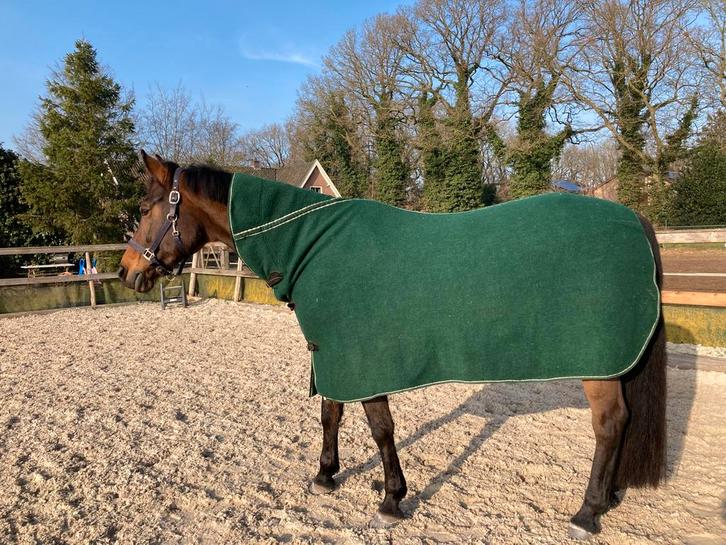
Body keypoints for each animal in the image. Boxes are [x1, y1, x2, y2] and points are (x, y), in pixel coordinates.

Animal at [118, 151, 666, 539]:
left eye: (145, 209)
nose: (126, 271)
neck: (311, 245)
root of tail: (631, 219)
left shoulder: (361, 359)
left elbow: (381, 429)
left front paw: (390, 500)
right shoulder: (332, 353)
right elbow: (331, 416)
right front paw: (326, 476)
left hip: (600, 365)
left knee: (609, 425)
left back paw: (587, 512)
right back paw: (608, 497)